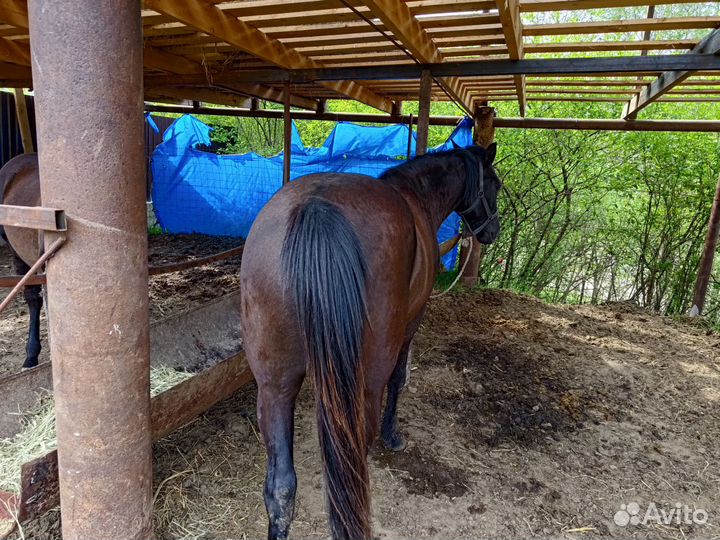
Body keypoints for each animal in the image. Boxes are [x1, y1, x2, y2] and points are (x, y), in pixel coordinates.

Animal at [239, 143, 501, 540]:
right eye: (496, 186)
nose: (493, 231)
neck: (416, 196)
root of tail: (315, 208)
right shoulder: (411, 322)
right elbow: (399, 379)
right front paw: (394, 436)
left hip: (274, 388)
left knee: (281, 488)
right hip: (365, 378)